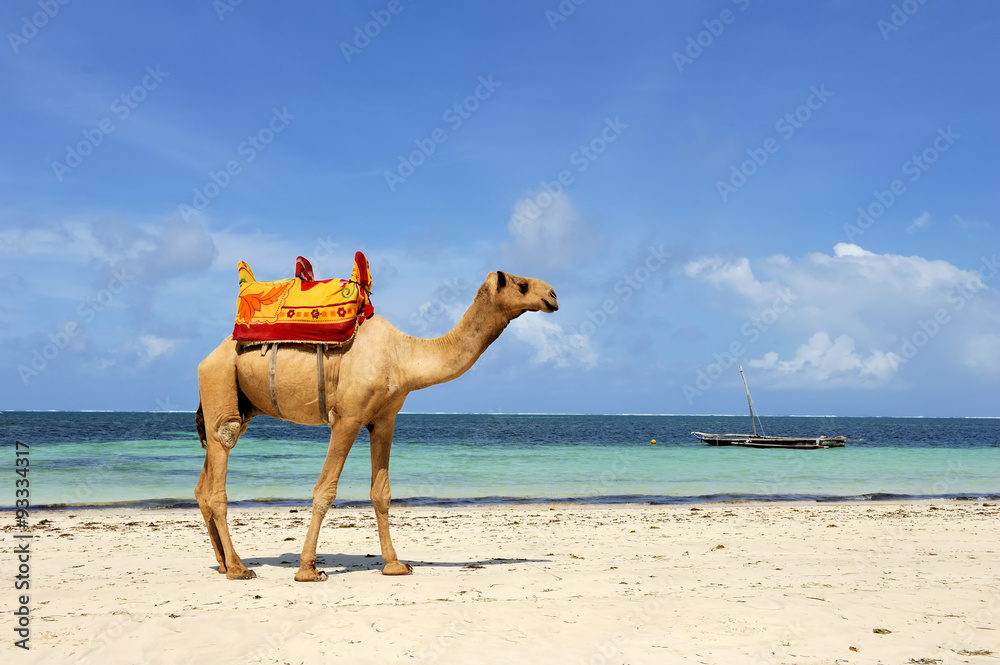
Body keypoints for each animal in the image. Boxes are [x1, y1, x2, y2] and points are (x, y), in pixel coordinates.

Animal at [193, 270, 556, 580]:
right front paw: (308, 570)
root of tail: (206, 358)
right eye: (521, 284)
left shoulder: (384, 420)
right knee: (221, 457)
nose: (552, 295)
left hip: (237, 403)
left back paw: (223, 564)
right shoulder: (348, 417)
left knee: (205, 478)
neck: (403, 356)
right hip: (220, 379)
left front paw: (395, 565)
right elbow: (325, 490)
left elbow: (381, 493)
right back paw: (239, 568)